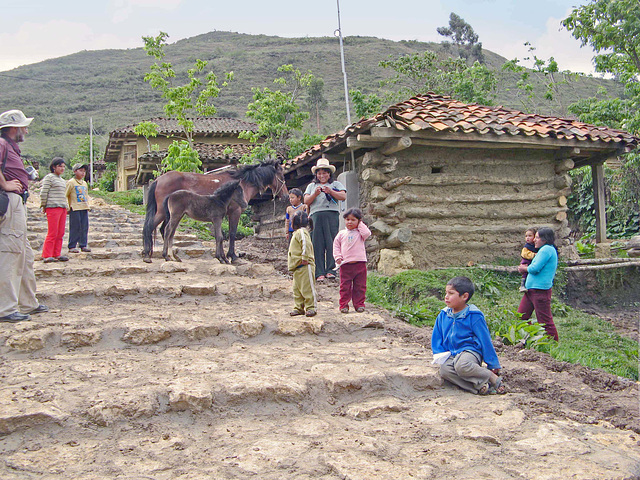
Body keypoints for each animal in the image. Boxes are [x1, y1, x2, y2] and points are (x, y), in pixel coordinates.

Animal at [144, 158, 288, 262]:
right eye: (282, 177)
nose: (286, 196)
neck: (243, 183)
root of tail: (158, 179)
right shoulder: (235, 212)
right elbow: (231, 234)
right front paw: (232, 256)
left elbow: (221, 236)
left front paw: (224, 256)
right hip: (163, 213)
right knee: (150, 227)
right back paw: (147, 255)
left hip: (171, 215)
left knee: (165, 230)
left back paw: (171, 256)